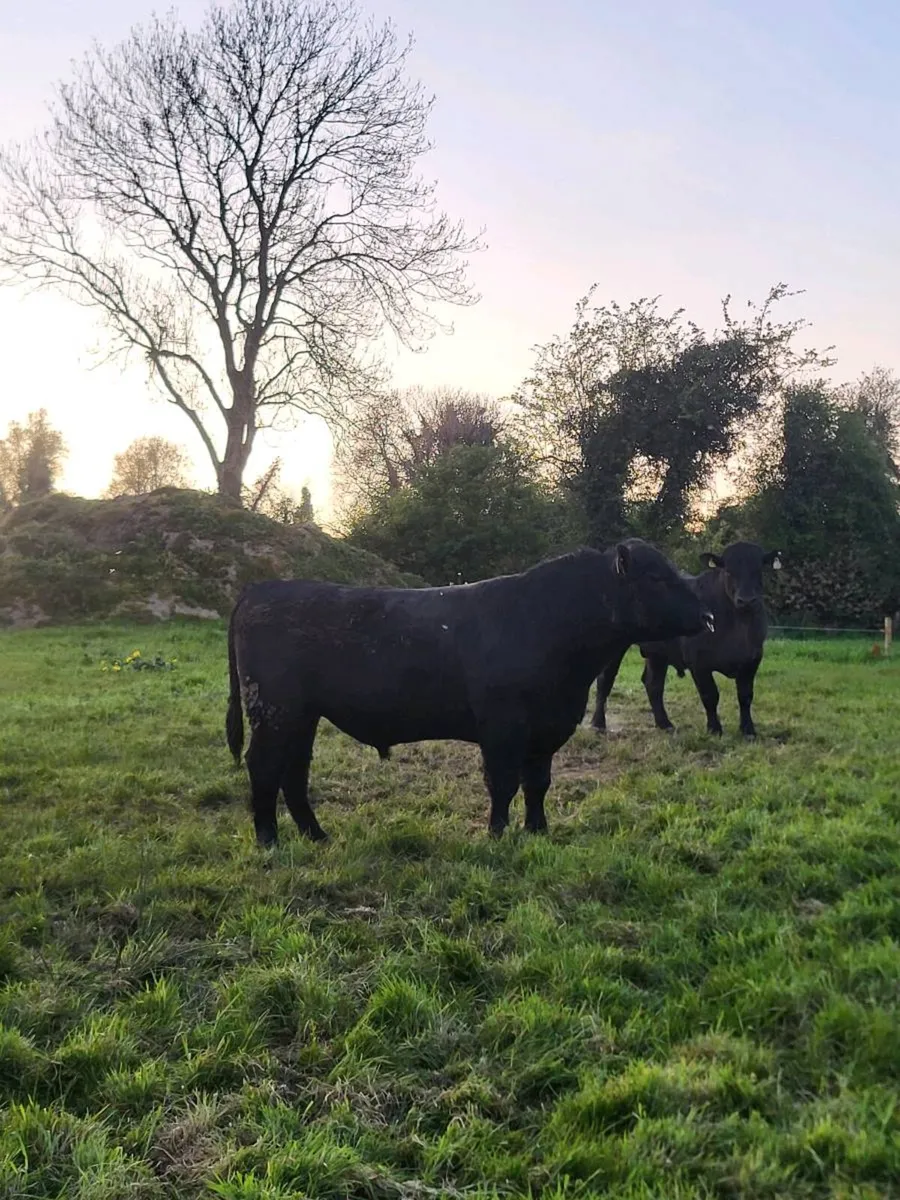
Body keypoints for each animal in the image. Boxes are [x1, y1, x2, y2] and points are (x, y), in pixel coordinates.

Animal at [226, 539, 715, 848]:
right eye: (656, 577)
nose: (708, 615)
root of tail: (263, 589)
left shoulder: (547, 728)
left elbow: (537, 783)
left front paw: (538, 832)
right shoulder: (502, 725)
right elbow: (502, 783)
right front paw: (496, 836)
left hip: (302, 716)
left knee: (294, 772)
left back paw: (317, 836)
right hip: (275, 710)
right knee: (264, 766)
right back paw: (268, 840)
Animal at [589, 541, 782, 738]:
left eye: (759, 570)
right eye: (728, 571)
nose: (747, 600)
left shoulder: (752, 660)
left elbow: (745, 696)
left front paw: (748, 730)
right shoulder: (699, 663)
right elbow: (710, 695)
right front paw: (714, 729)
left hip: (658, 653)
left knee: (653, 684)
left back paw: (664, 723)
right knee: (605, 681)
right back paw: (598, 723)